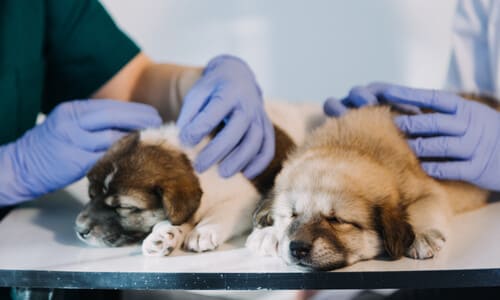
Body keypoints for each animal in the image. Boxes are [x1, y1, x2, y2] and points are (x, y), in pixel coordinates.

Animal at [74, 101, 324, 255]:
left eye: (123, 207)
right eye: (91, 195)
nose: (79, 230)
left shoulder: (246, 198)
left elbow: (222, 211)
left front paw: (203, 230)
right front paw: (164, 234)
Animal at [247, 99, 492, 270]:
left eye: (337, 220)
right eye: (292, 215)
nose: (297, 248)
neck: (350, 145)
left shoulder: (429, 190)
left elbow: (423, 208)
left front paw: (421, 235)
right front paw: (268, 234)